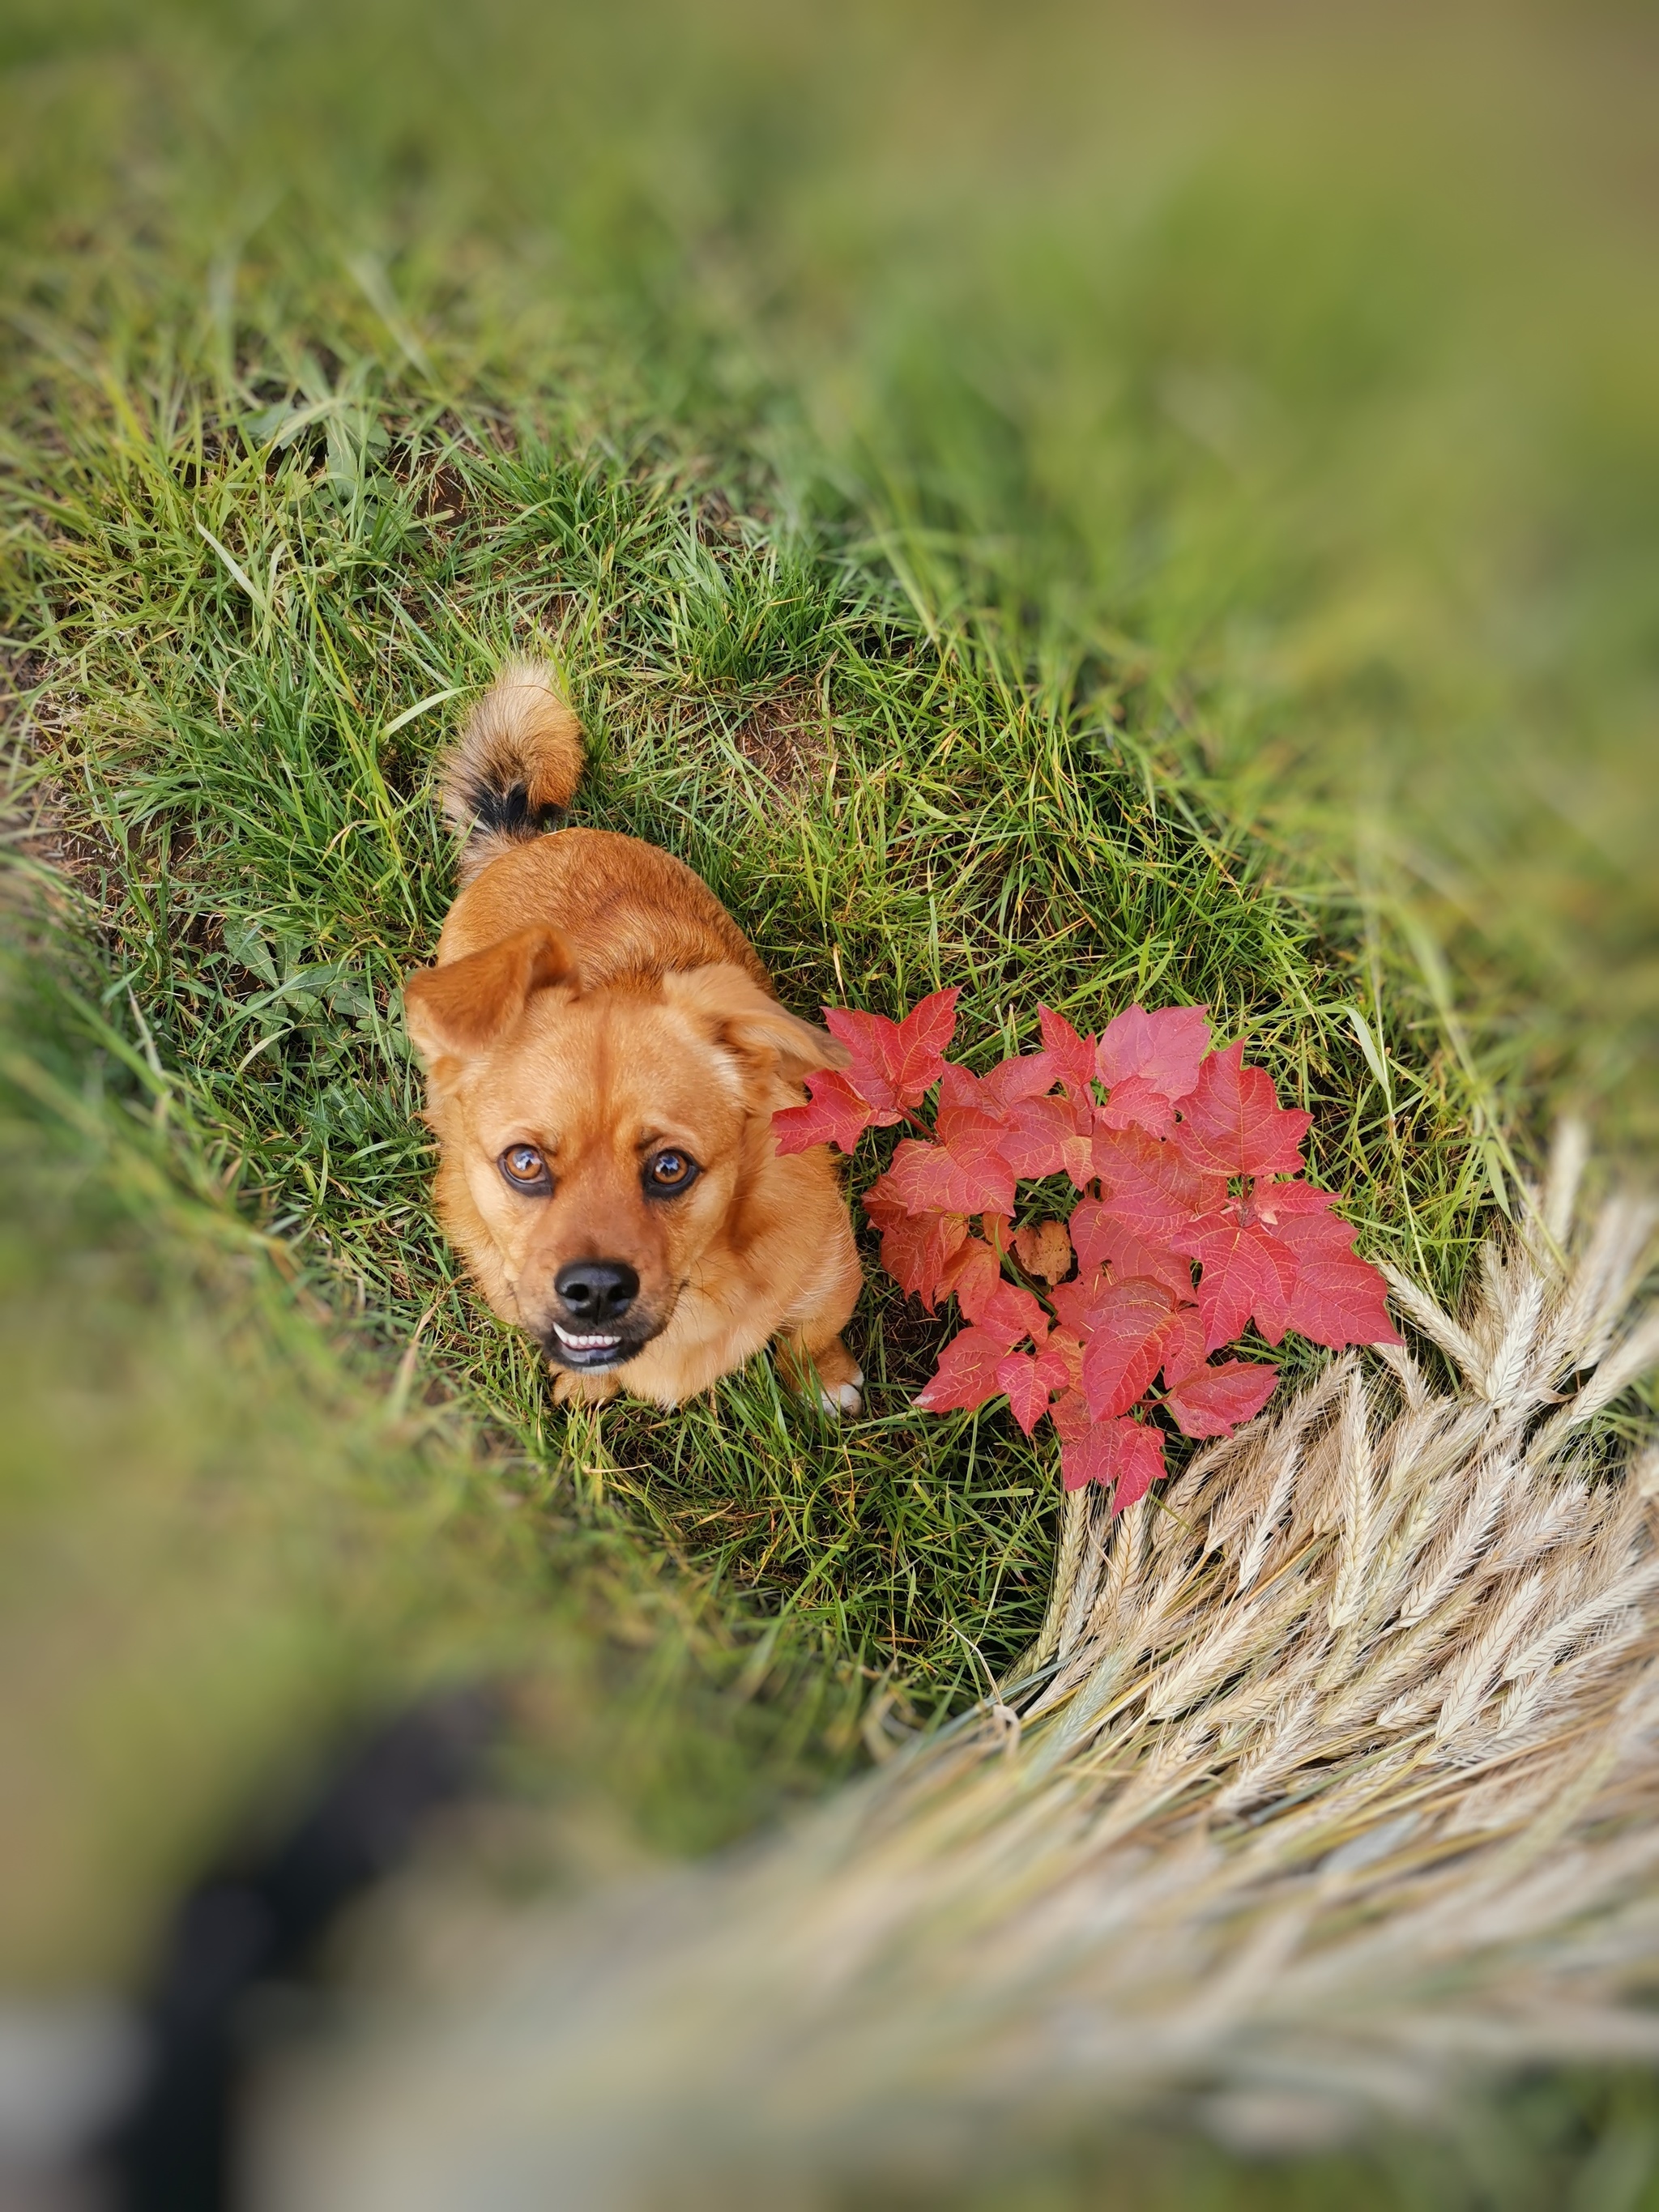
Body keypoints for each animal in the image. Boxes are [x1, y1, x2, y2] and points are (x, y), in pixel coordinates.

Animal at [404, 658, 871, 1415]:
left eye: (671, 1167)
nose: (593, 1290)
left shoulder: (832, 1268)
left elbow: (811, 1336)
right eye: (523, 1163)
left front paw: (824, 1381)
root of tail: (519, 842)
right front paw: (589, 1383)